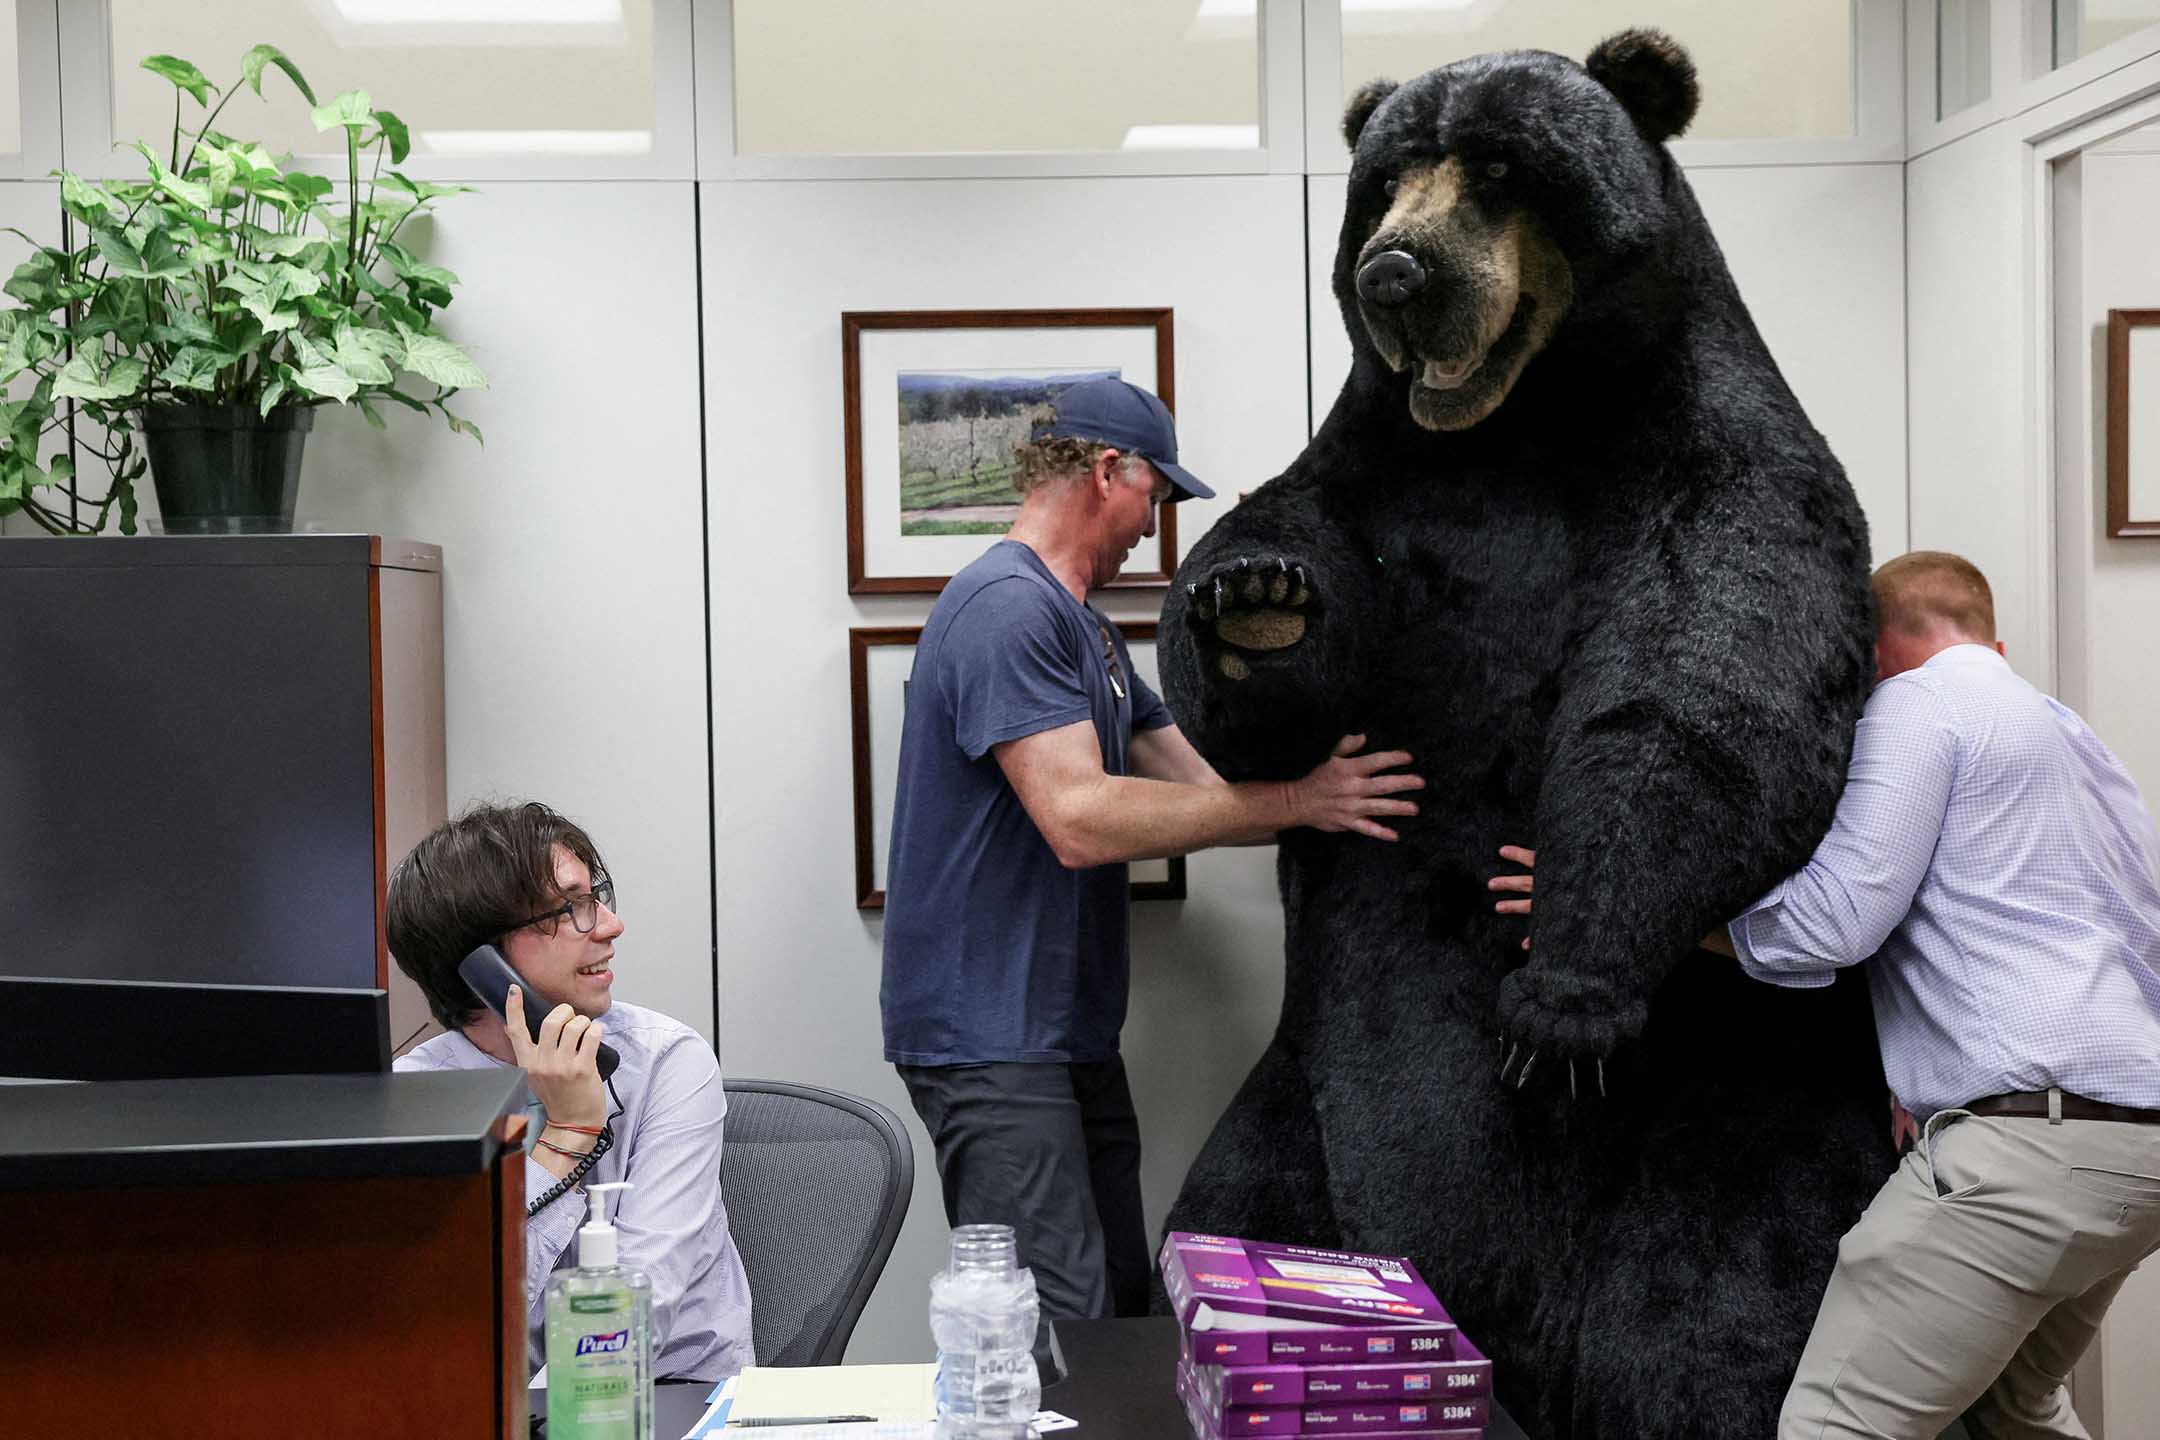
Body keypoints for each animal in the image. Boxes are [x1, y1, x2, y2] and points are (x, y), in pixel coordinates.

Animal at [1166, 25, 1892, 1440]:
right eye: (1389, 178)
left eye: (1501, 170)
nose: (1395, 274)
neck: (1521, 430)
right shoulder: (1373, 480)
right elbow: (1272, 673)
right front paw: (1257, 601)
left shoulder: (1721, 467)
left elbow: (1706, 688)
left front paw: (1560, 992)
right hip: (1300, 1114)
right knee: (1236, 1197)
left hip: (1749, 1093)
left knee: (1714, 1317)